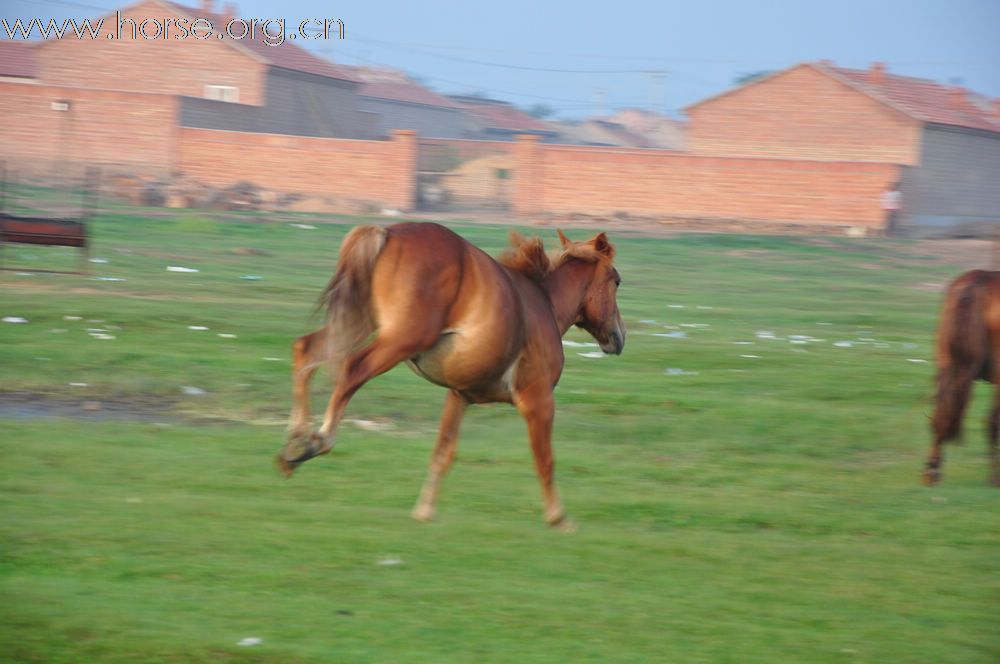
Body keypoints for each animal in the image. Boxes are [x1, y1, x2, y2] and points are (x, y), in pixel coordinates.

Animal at [278, 223, 624, 528]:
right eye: (617, 281)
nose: (619, 337)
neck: (544, 306)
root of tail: (386, 232)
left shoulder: (459, 396)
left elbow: (443, 452)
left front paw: (424, 511)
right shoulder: (537, 399)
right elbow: (545, 459)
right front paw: (559, 518)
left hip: (358, 322)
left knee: (305, 351)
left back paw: (294, 442)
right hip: (400, 340)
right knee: (351, 370)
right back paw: (315, 442)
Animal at [924, 268, 1000, 488]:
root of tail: (977, 283)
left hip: (947, 364)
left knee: (941, 413)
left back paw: (932, 470)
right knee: (992, 421)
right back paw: (995, 478)